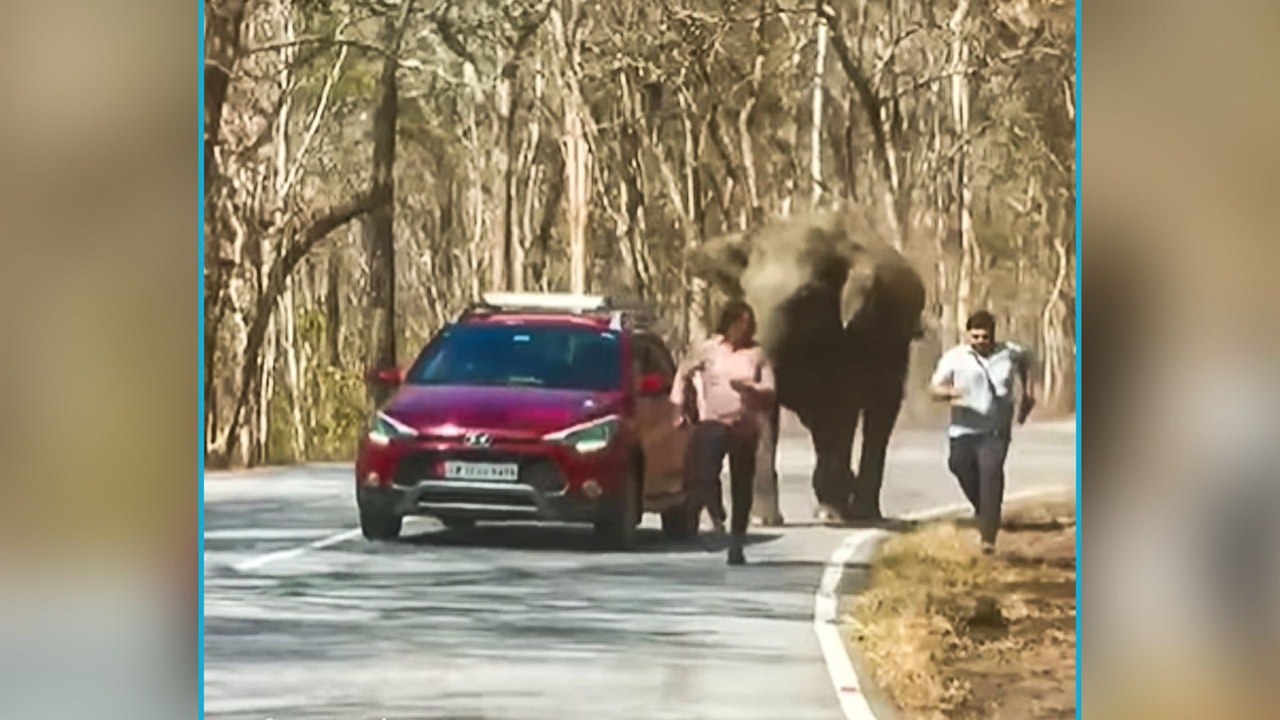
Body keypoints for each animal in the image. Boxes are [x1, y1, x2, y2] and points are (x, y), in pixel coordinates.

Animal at [688, 208, 926, 523]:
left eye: (803, 298)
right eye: (747, 295)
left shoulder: (856, 334)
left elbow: (843, 410)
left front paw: (833, 510)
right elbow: (769, 409)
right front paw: (763, 520)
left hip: (896, 347)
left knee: (878, 414)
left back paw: (858, 511)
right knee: (821, 423)